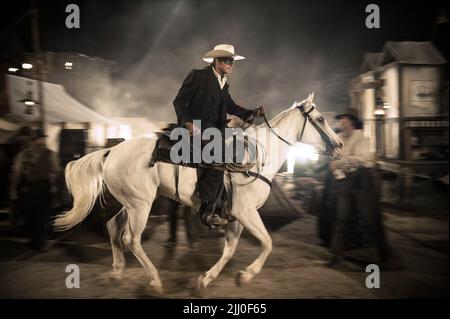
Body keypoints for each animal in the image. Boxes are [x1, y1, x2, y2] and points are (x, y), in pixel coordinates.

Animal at [53, 93, 342, 296]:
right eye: (320, 119)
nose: (339, 145)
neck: (258, 157)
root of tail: (111, 150)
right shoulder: (246, 211)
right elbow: (267, 243)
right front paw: (247, 274)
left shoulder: (237, 216)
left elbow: (230, 249)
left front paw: (208, 279)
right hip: (141, 206)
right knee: (131, 239)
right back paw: (155, 281)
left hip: (132, 203)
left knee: (114, 227)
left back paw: (116, 272)